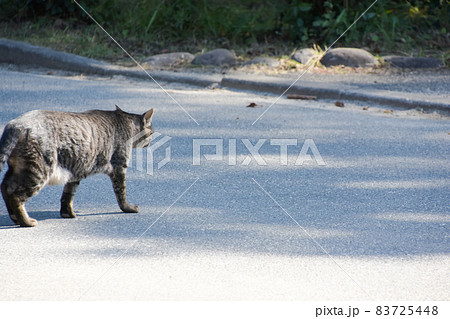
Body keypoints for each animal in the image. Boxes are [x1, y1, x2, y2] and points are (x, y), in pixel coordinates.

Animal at [0, 107, 155, 228]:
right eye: (152, 132)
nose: (151, 140)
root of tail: (15, 125)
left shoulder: (75, 173)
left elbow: (68, 195)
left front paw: (67, 213)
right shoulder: (119, 167)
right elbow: (121, 193)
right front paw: (128, 208)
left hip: (19, 169)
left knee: (5, 187)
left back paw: (14, 217)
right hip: (40, 171)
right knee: (16, 196)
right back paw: (25, 221)